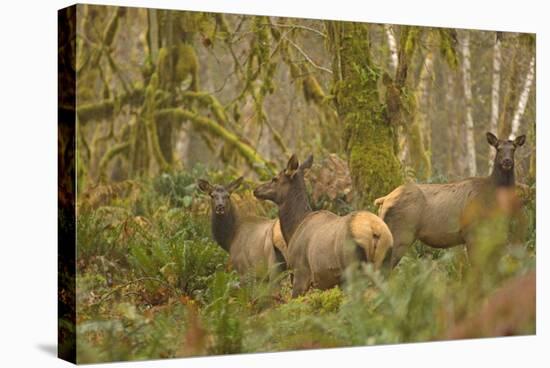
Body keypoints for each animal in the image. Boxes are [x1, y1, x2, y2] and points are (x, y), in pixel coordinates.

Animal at [256, 154, 394, 298]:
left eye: (275, 179)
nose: (256, 190)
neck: (293, 229)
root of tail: (375, 229)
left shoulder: (300, 272)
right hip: (385, 265)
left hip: (353, 266)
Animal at [376, 132, 532, 268]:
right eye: (498, 148)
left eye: (513, 148)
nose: (507, 161)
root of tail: (384, 200)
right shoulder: (471, 232)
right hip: (401, 233)